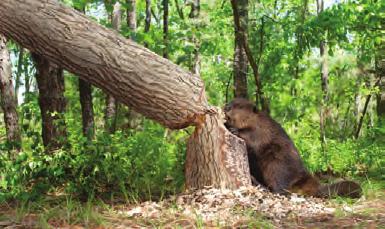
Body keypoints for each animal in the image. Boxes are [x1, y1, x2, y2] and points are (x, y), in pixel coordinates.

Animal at [224, 97, 362, 198]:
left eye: (239, 106)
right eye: (230, 101)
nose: (226, 107)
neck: (256, 118)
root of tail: (315, 186)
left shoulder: (262, 127)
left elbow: (255, 138)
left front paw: (233, 129)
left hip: (277, 164)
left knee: (281, 189)